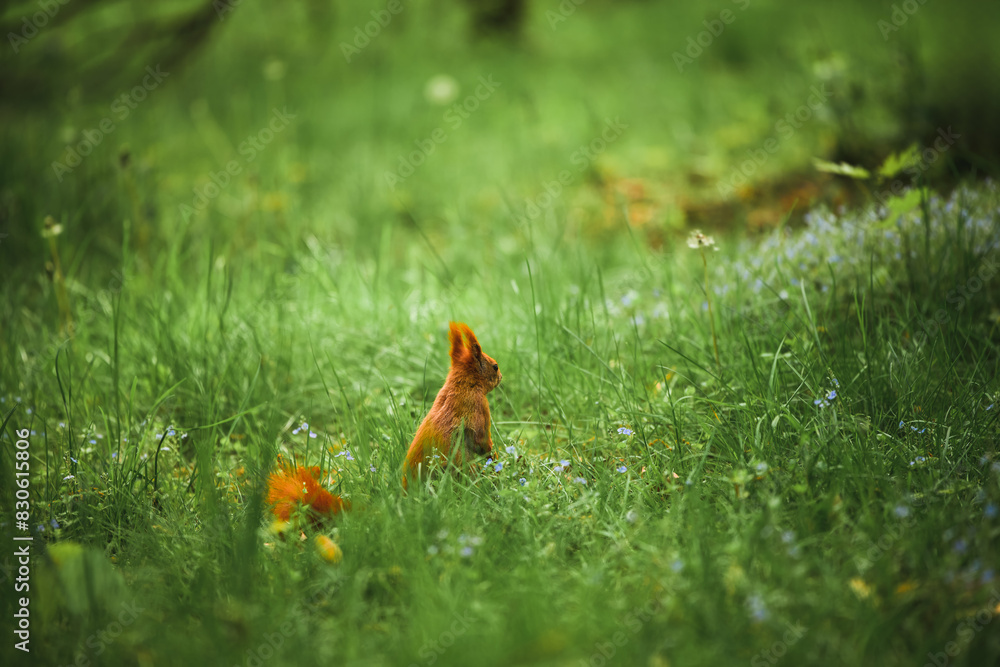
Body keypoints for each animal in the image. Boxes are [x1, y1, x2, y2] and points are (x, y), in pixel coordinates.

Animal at [403, 322, 502, 488]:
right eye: (495, 366)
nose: (501, 376)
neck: (463, 385)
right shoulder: (479, 408)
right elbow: (482, 441)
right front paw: (496, 459)